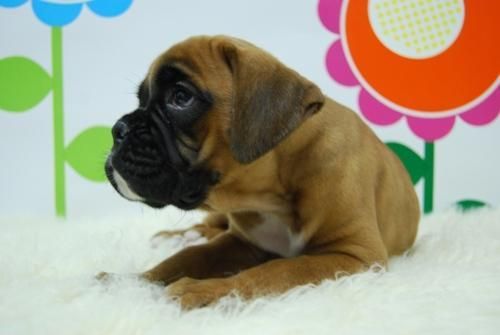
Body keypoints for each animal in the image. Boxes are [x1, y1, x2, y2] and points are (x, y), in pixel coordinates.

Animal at [103, 34, 420, 310]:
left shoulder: (356, 255)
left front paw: (205, 289)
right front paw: (127, 281)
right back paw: (178, 236)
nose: (118, 130)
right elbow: (186, 258)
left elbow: (278, 270)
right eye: (141, 100)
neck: (270, 193)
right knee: (208, 227)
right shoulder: (240, 242)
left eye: (181, 97)